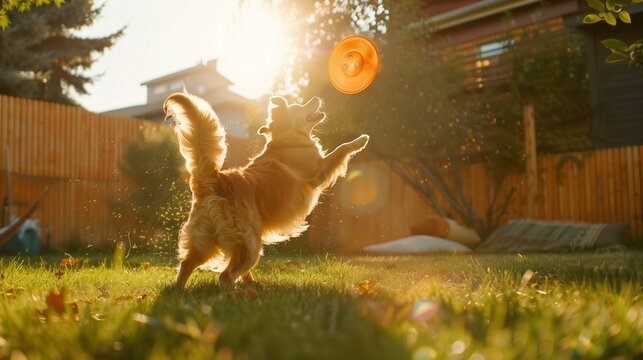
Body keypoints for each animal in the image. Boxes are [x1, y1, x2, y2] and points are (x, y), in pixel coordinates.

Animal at [164, 92, 370, 286]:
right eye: (300, 106)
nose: (316, 98)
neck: (287, 138)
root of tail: (216, 180)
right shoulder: (319, 170)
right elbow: (340, 149)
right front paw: (360, 141)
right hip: (250, 243)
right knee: (226, 275)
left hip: (205, 240)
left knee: (187, 264)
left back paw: (181, 289)